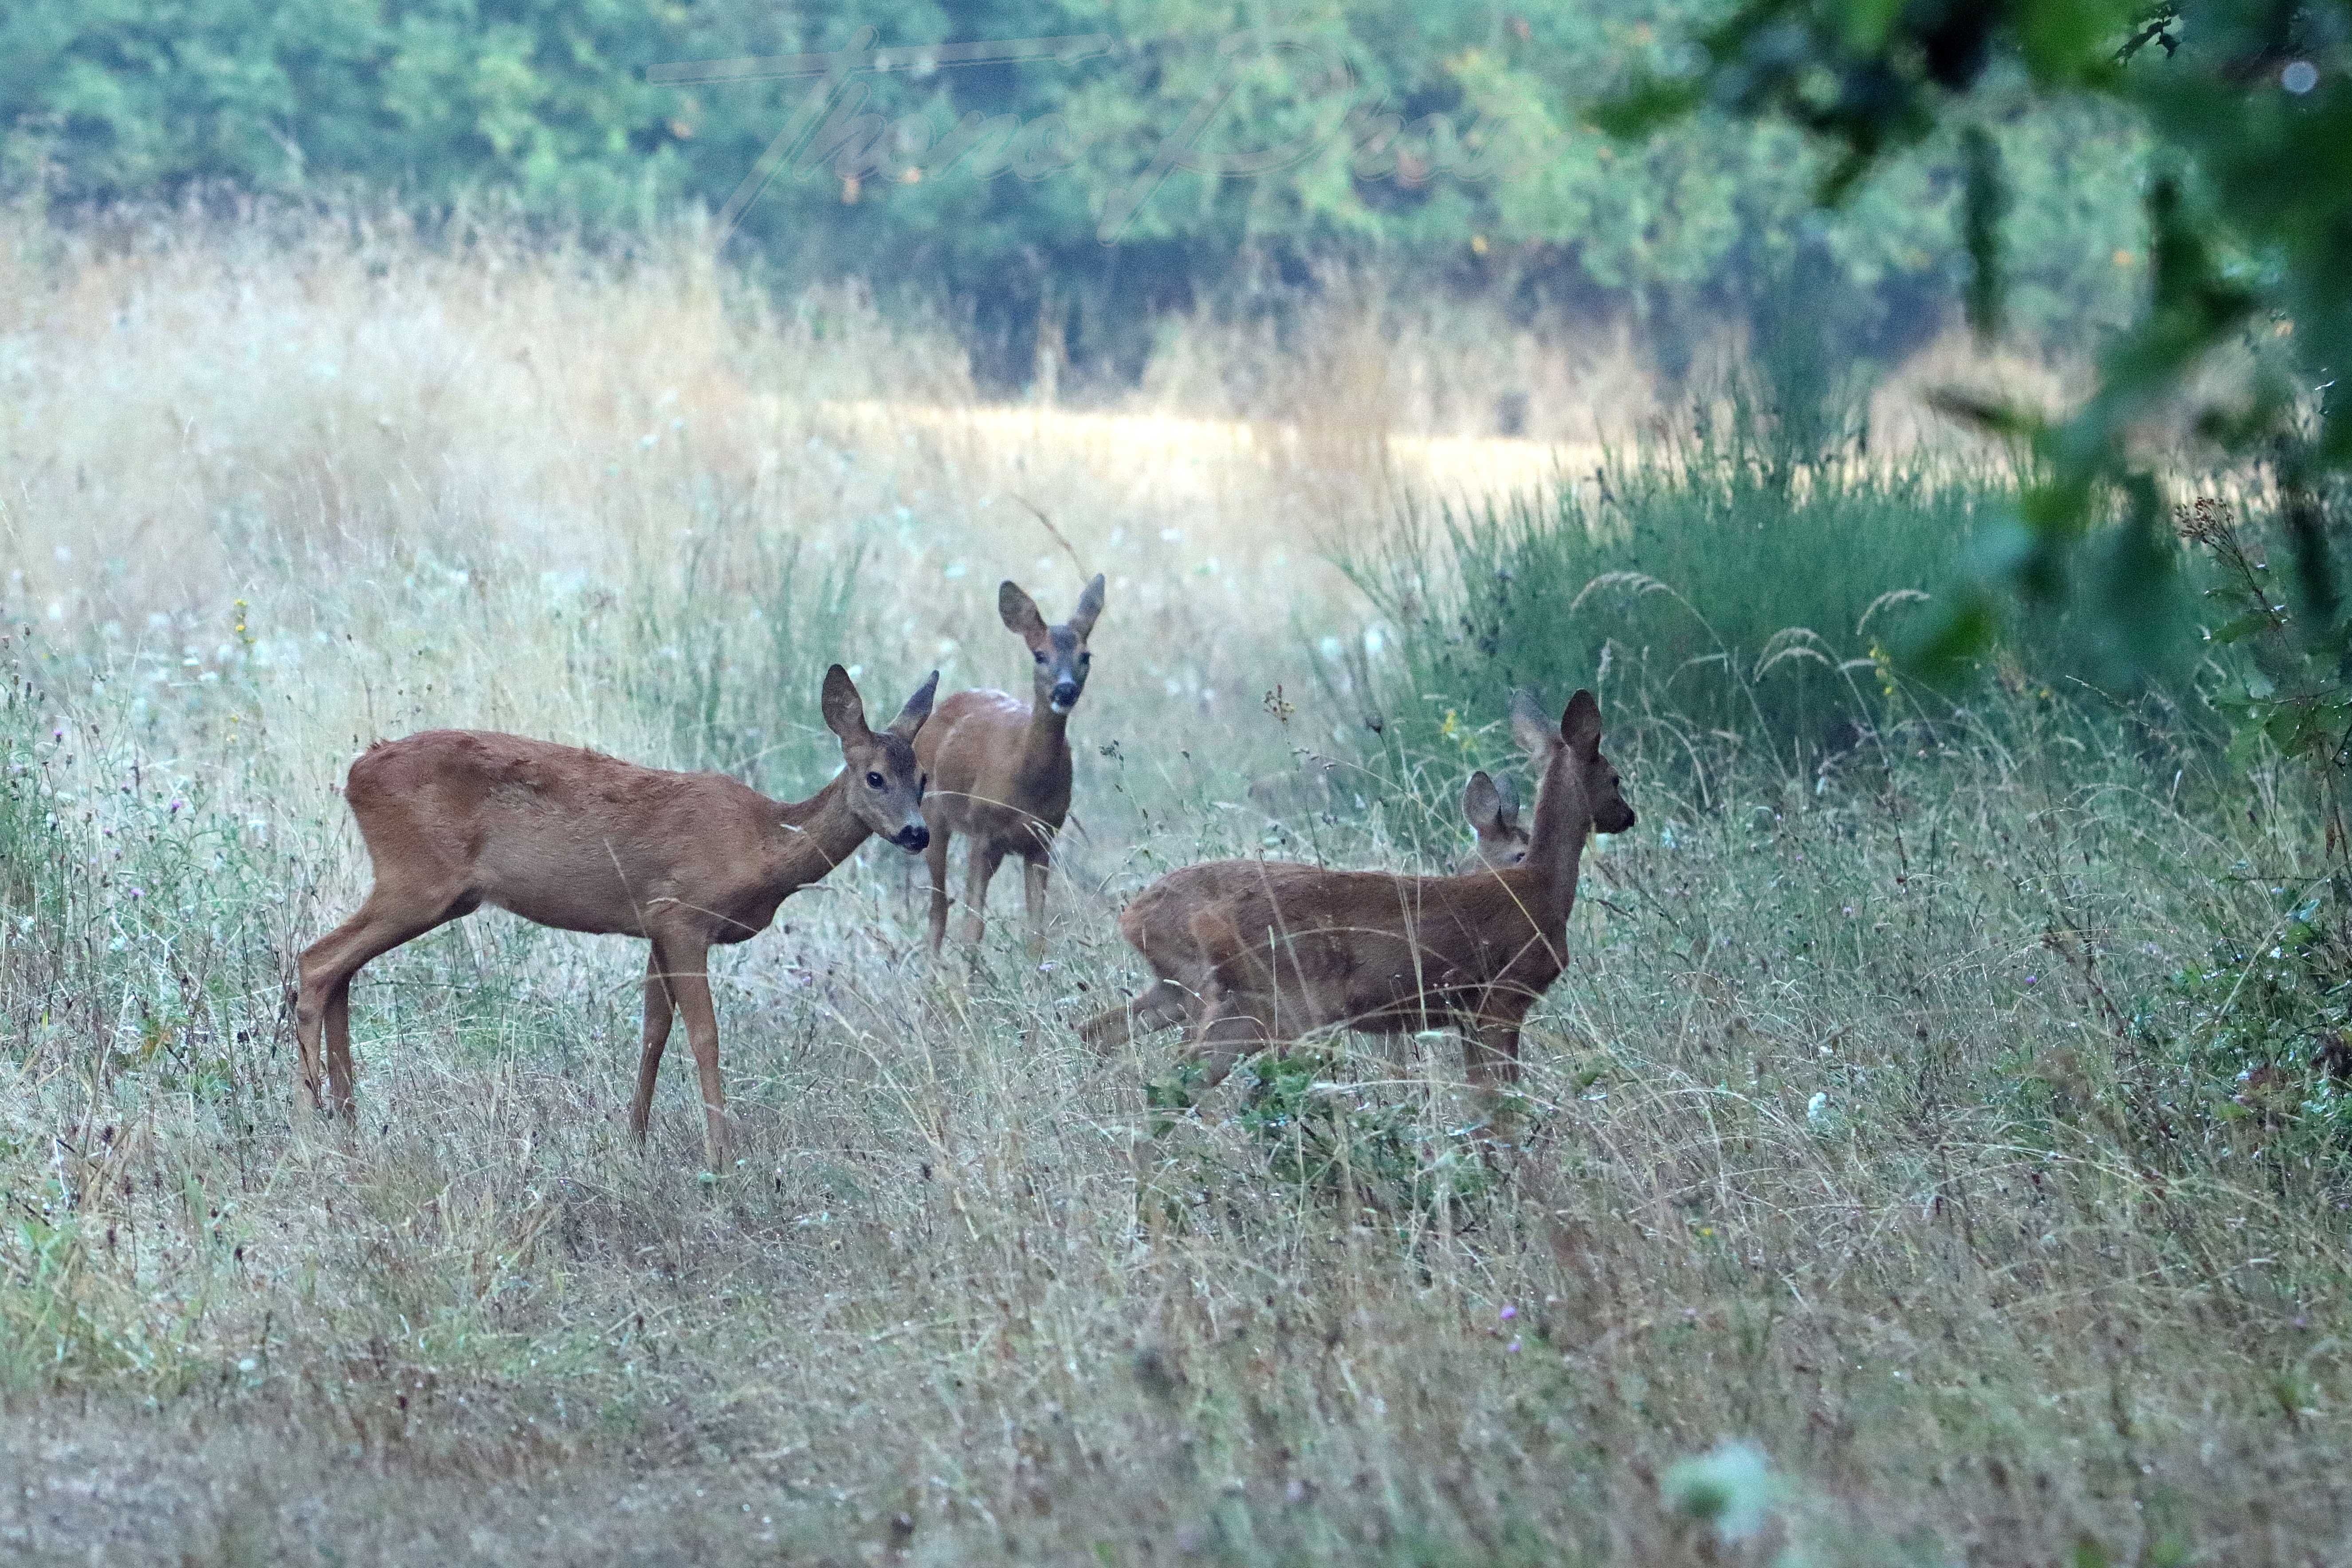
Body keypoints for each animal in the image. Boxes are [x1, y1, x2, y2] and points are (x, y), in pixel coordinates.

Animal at [282, 658, 927, 1166]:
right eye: (874, 777)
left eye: (922, 777)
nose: (917, 833)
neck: (765, 841)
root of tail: (355, 774)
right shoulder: (682, 915)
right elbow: (704, 1035)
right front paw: (721, 1155)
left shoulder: (654, 927)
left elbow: (653, 1033)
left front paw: (633, 1141)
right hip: (416, 881)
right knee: (317, 962)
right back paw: (309, 1126)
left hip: (424, 890)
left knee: (340, 969)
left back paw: (347, 1123)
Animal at [912, 576, 1105, 959]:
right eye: (1040, 655)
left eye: (1085, 656)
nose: (1065, 690)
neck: (1024, 779)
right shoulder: (983, 831)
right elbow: (972, 928)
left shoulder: (1042, 838)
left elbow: (1036, 932)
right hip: (933, 814)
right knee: (938, 909)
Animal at [1072, 691, 1637, 1133]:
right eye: (1614, 777)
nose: (1628, 816)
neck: (1540, 886)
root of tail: (1131, 917)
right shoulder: (1500, 997)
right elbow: (1496, 1103)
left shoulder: (1464, 1013)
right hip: (1281, 1007)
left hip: (1206, 998)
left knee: (1111, 1040)